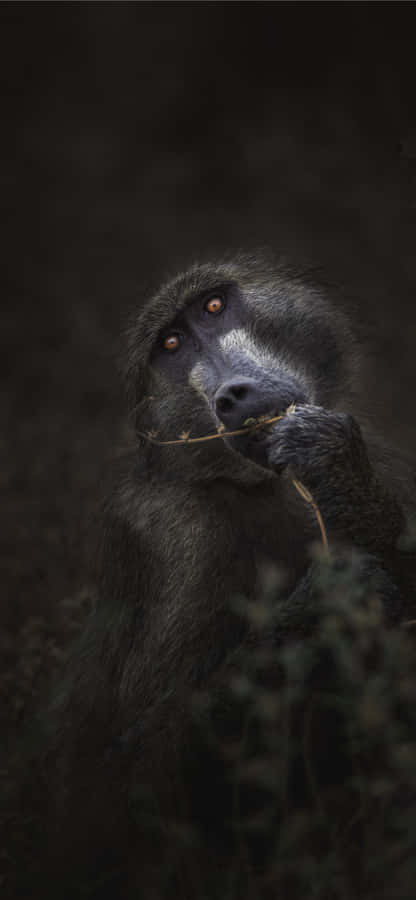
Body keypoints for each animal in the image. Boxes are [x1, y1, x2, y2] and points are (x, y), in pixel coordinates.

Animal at [35, 254, 416, 900]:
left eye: (213, 308)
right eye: (170, 344)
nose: (233, 395)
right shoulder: (182, 539)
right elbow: (136, 782)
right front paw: (334, 599)